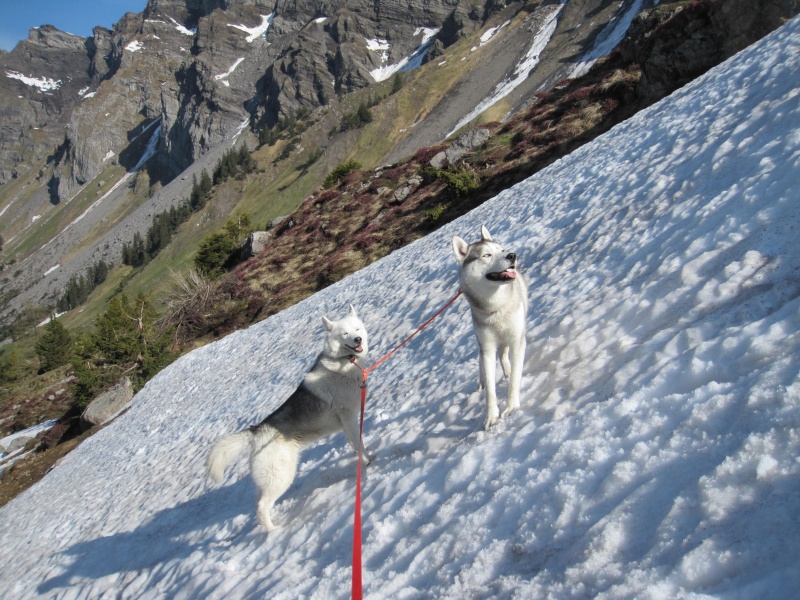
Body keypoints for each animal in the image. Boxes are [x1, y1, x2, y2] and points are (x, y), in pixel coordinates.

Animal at [205, 304, 370, 528]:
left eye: (357, 329)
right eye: (345, 334)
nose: (358, 340)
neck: (343, 362)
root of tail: (256, 431)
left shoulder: (346, 423)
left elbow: (353, 444)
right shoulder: (349, 415)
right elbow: (359, 443)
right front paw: (368, 461)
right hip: (280, 476)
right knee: (262, 506)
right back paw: (274, 530)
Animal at [454, 224, 528, 426]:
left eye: (501, 250)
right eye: (486, 255)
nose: (512, 255)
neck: (496, 308)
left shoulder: (517, 340)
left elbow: (515, 377)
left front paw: (512, 406)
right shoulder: (487, 348)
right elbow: (490, 389)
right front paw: (491, 416)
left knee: (504, 355)